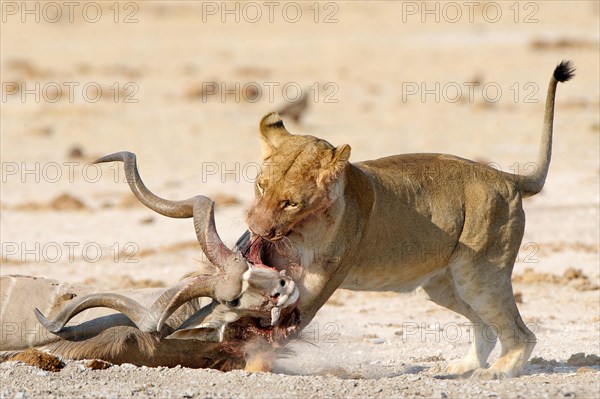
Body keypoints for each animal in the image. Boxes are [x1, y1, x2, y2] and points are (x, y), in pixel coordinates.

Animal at [241, 60, 576, 378]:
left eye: (291, 203)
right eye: (261, 186)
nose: (256, 229)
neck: (303, 230)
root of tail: (507, 178)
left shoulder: (317, 286)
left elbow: (272, 335)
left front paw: (252, 367)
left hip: (480, 275)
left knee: (520, 333)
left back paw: (497, 372)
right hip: (444, 286)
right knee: (484, 326)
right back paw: (465, 366)